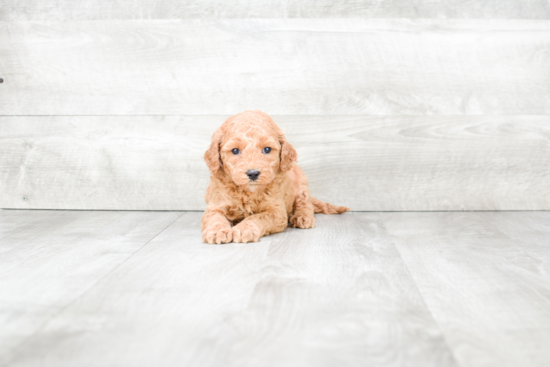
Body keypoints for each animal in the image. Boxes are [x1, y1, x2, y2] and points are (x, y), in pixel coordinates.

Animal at [202, 110, 350, 246]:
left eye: (267, 149)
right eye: (235, 150)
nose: (253, 173)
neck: (249, 193)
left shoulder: (276, 211)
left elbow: (258, 217)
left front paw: (244, 229)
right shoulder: (215, 204)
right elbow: (214, 217)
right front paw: (217, 231)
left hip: (301, 184)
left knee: (305, 203)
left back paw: (302, 217)